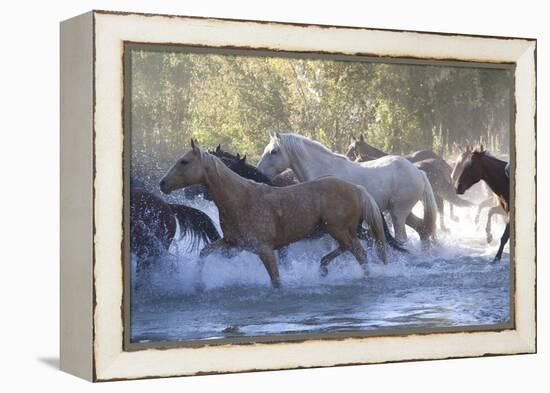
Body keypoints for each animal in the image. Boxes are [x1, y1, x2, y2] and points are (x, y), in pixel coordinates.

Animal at [162, 139, 390, 286]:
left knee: (360, 253)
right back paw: (323, 268)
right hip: (341, 232)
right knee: (351, 250)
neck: (240, 198)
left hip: (340, 230)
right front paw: (198, 282)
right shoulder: (232, 245)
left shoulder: (265, 249)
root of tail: (357, 189)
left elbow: (276, 280)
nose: (162, 183)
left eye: (184, 161)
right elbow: (204, 253)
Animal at [258, 131, 440, 245]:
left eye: (273, 151)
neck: (324, 169)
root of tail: (418, 172)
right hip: (402, 213)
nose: (259, 171)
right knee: (423, 230)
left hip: (398, 213)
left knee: (403, 237)